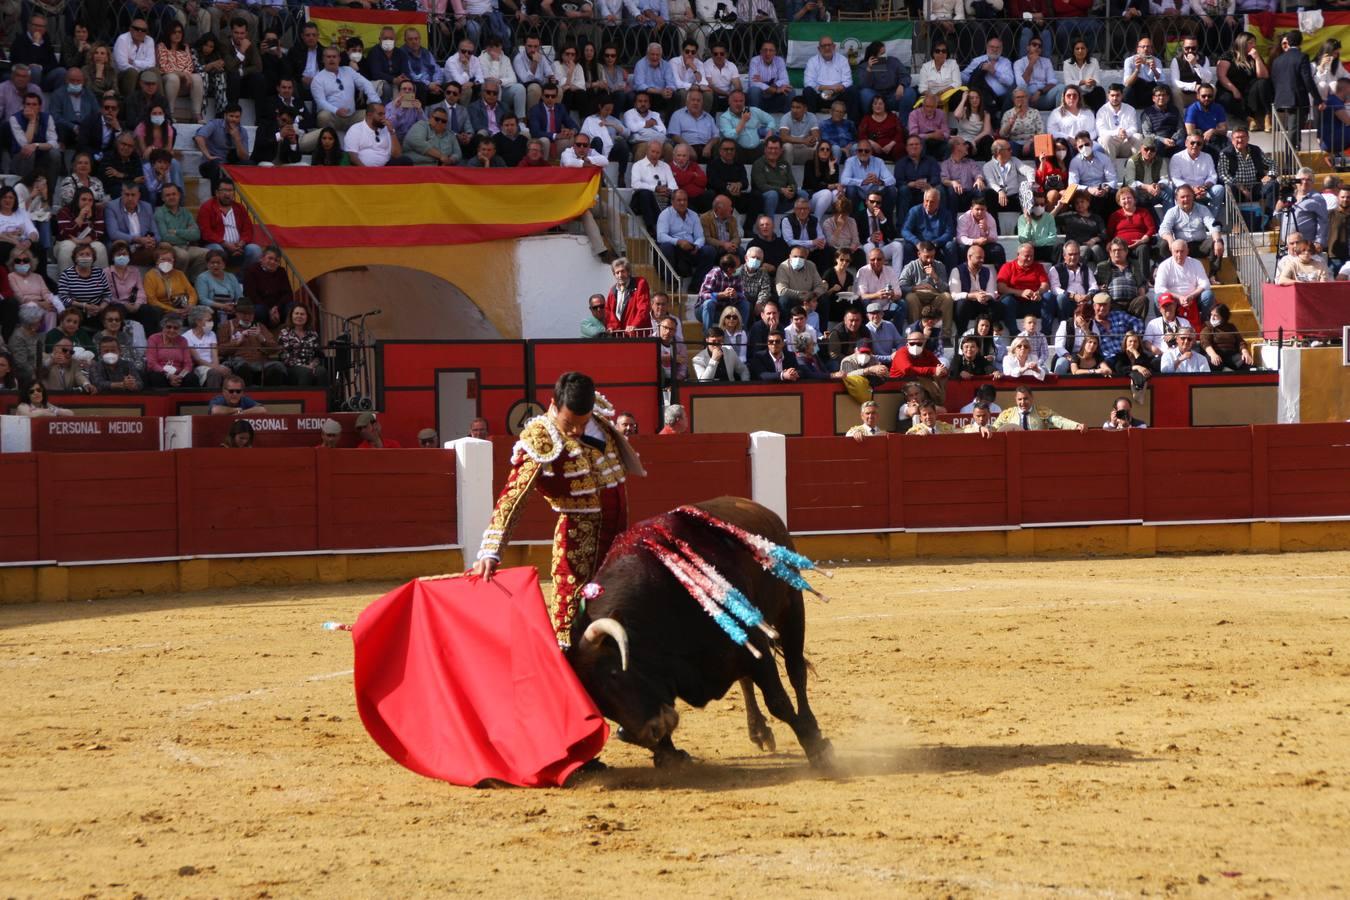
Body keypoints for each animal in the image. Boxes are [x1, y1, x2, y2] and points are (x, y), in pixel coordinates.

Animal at [561, 496, 831, 771]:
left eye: (615, 674)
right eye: (599, 705)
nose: (650, 733)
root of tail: (754, 505)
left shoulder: (754, 646)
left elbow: (778, 702)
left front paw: (816, 748)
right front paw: (668, 753)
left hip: (791, 606)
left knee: (796, 672)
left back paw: (809, 726)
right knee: (746, 681)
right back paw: (759, 731)